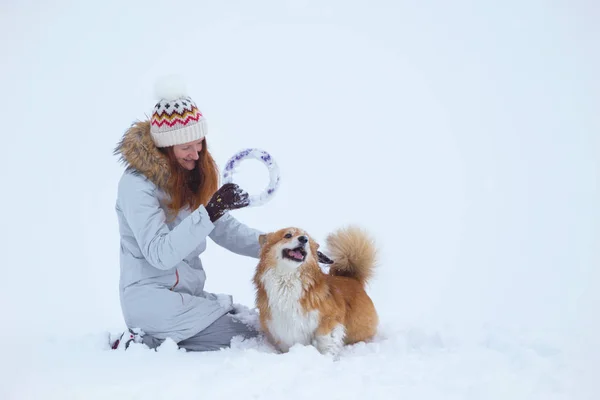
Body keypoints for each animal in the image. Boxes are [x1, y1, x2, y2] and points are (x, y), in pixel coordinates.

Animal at [254, 223, 380, 358]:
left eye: (307, 239)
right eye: (288, 235)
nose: (303, 239)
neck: (287, 280)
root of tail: (351, 278)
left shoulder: (329, 319)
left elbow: (325, 339)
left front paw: (326, 357)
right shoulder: (280, 325)